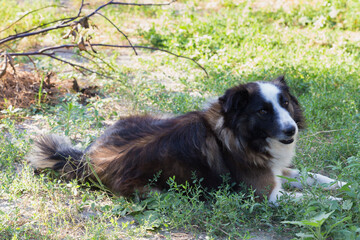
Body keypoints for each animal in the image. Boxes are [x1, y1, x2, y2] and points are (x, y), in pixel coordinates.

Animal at [28, 76, 346, 203]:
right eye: (263, 110)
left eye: (285, 103)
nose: (291, 130)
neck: (239, 133)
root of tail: (85, 158)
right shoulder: (265, 193)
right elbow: (308, 198)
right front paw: (340, 203)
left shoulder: (277, 170)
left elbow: (314, 177)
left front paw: (343, 185)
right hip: (155, 191)